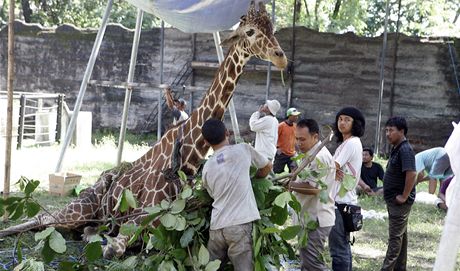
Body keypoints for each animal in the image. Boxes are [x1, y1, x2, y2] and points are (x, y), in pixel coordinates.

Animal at [0, 0, 288, 260]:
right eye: (250, 31)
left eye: (272, 28)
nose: (281, 57)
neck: (188, 156)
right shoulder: (141, 217)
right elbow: (114, 248)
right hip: (78, 209)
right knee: (42, 218)